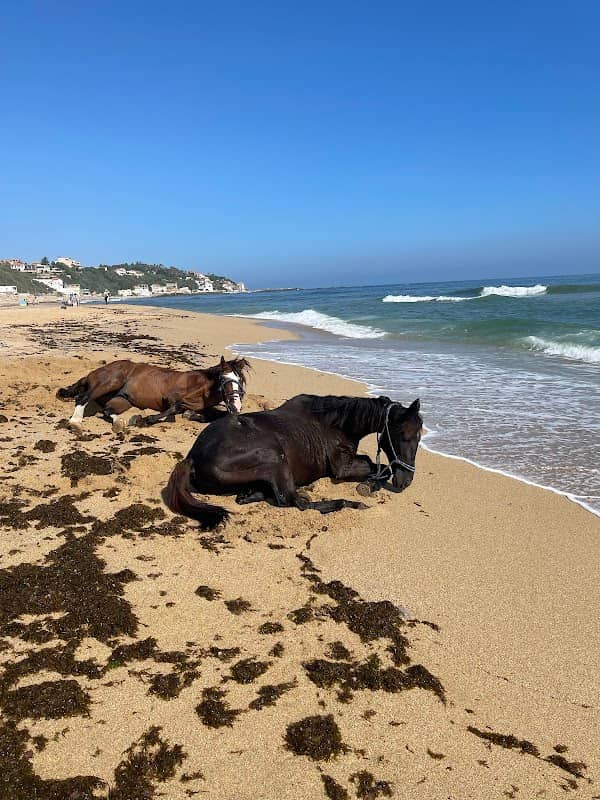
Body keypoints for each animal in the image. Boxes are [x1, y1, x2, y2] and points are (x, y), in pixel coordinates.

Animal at [56, 355, 250, 433]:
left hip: (122, 399)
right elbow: (175, 409)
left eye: (240, 381)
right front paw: (145, 420)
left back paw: (121, 423)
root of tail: (91, 373)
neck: (199, 386)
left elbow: (208, 415)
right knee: (82, 397)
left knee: (107, 410)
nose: (236, 406)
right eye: (223, 379)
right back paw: (75, 423)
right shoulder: (170, 397)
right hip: (111, 382)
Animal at [165, 394, 422, 529]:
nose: (406, 481)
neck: (336, 423)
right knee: (294, 502)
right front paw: (370, 486)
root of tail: (191, 458)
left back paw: (250, 493)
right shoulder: (342, 468)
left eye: (419, 437)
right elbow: (377, 466)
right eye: (404, 436)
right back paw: (350, 504)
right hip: (275, 459)